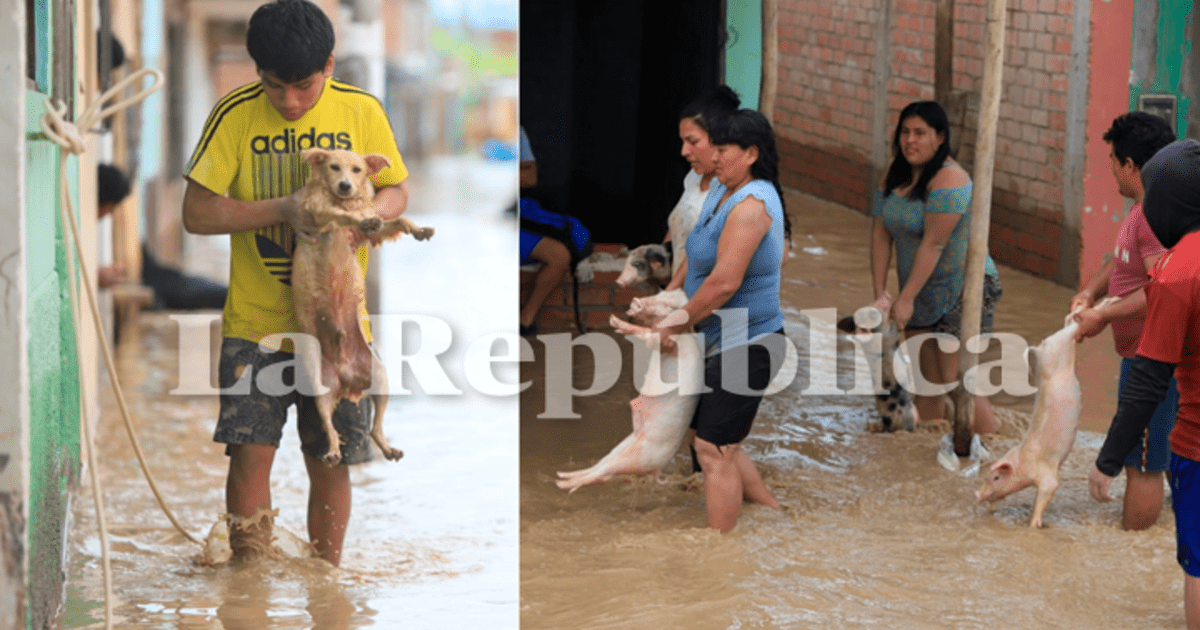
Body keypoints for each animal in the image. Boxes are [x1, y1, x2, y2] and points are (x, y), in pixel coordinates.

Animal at [286, 146, 434, 460]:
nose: (345, 185)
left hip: (379, 376)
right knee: (329, 425)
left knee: (374, 428)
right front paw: (357, 216)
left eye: (357, 170)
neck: (342, 199)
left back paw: (388, 449)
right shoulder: (317, 215)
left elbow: (396, 222)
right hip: (319, 386)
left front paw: (418, 229)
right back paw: (332, 450)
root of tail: (345, 379)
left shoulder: (372, 233)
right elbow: (344, 216)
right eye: (333, 167)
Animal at [979, 296, 1118, 525]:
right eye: (988, 476)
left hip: (1058, 346)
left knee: (1073, 326)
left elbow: (1048, 490)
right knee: (1070, 320)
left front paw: (1034, 524)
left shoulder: (1047, 475)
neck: (1023, 462)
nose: (977, 494)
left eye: (996, 477)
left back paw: (1109, 302)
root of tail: (1040, 349)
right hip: (1057, 344)